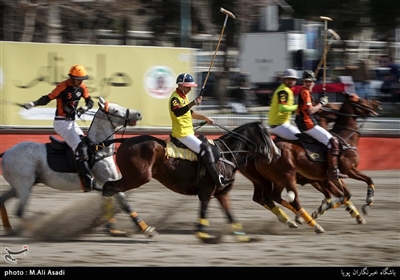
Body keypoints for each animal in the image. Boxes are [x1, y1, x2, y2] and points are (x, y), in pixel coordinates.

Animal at [0, 97, 156, 237]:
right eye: (116, 110)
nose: (138, 114)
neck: (99, 148)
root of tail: (6, 153)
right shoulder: (108, 181)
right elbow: (124, 204)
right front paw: (146, 229)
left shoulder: (107, 184)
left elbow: (110, 203)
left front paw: (112, 229)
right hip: (24, 185)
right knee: (19, 211)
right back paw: (35, 232)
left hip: (21, 185)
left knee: (3, 199)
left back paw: (10, 230)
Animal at [100, 121, 278, 242]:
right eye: (266, 134)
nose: (275, 155)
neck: (226, 153)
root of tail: (124, 141)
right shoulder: (207, 190)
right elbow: (204, 211)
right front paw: (204, 235)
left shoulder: (222, 193)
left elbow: (230, 215)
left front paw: (243, 237)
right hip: (138, 177)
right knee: (110, 188)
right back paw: (139, 228)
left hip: (134, 177)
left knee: (109, 189)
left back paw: (121, 229)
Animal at [239, 93, 380, 233]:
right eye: (361, 100)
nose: (377, 104)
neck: (346, 139)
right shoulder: (346, 170)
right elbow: (360, 185)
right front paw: (367, 203)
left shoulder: (328, 178)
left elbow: (345, 194)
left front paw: (356, 216)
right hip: (285, 176)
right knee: (287, 200)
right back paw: (312, 224)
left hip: (272, 179)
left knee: (269, 197)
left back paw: (294, 220)